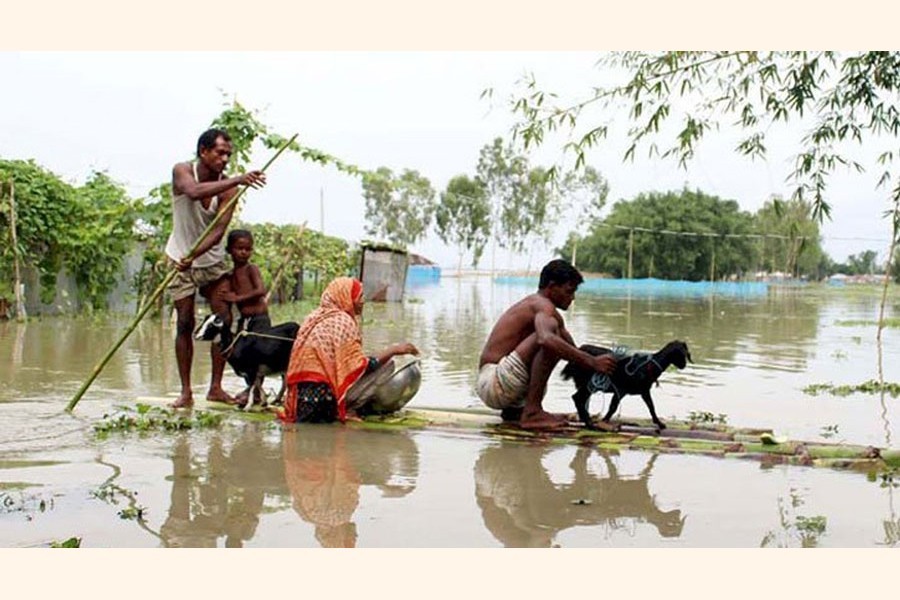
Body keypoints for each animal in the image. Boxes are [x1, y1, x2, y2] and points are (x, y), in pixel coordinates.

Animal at [560, 340, 692, 428]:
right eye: (681, 353)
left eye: (686, 353)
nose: (684, 365)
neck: (649, 366)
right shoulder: (621, 390)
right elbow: (613, 407)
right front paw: (604, 421)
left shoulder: (644, 391)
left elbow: (651, 406)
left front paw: (659, 423)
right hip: (590, 384)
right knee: (578, 398)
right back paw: (589, 423)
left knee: (580, 400)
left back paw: (586, 421)